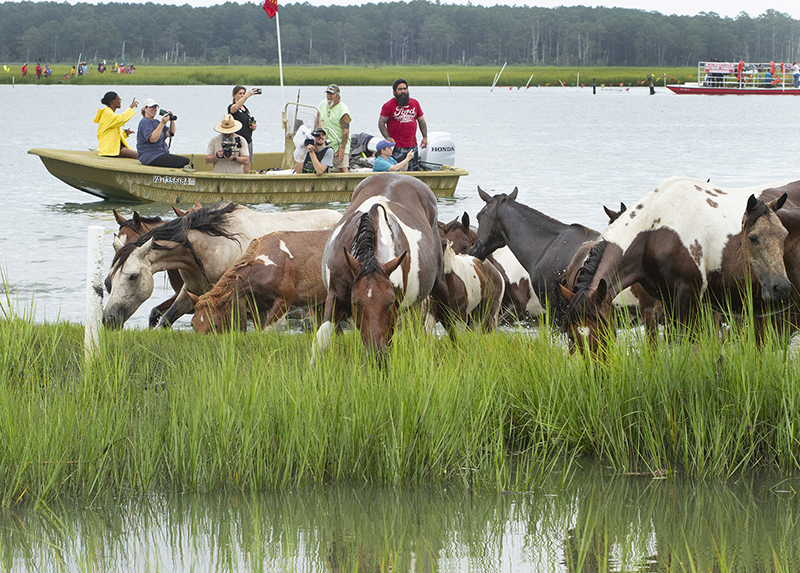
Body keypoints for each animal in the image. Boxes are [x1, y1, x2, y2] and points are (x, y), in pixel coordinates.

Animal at [312, 173, 450, 362]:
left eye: (390, 302)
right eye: (355, 303)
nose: (376, 354)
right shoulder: (335, 295)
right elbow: (321, 340)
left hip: (429, 291)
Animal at [556, 174, 792, 354]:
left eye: (604, 333)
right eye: (571, 336)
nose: (596, 373)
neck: (654, 234)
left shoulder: (686, 296)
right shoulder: (666, 298)